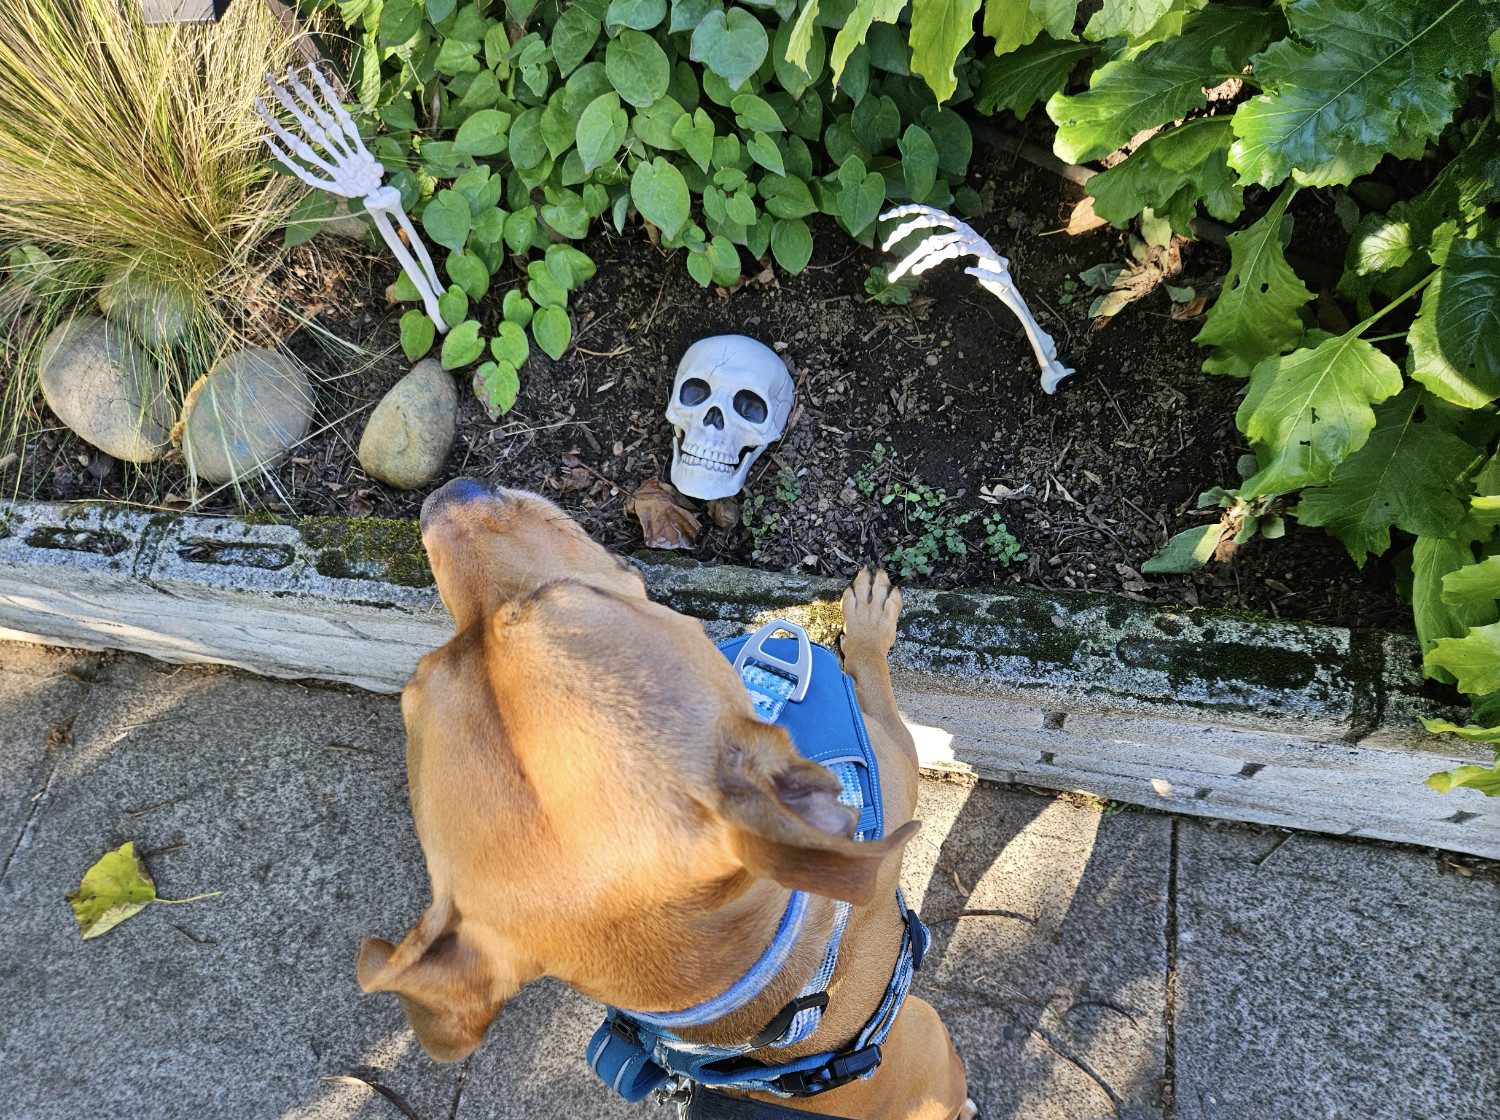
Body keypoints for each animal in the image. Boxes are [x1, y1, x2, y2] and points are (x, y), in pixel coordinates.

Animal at [361, 482, 972, 1120]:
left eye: (421, 674)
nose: (444, 496)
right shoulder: (893, 750)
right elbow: (876, 676)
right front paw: (871, 621)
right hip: (931, 1035)